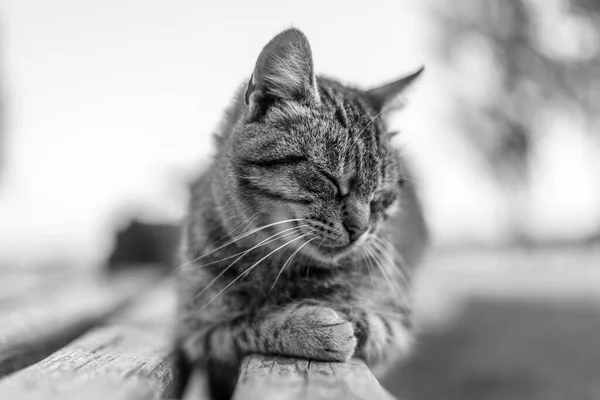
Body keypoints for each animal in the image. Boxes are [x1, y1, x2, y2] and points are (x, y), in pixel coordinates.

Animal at [176, 26, 428, 398]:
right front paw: (308, 325)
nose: (361, 230)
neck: (280, 265)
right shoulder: (198, 332)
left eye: (380, 196)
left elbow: (368, 320)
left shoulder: (397, 324)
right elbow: (245, 325)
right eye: (330, 178)